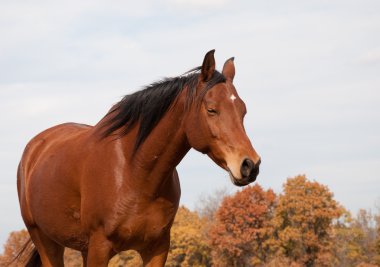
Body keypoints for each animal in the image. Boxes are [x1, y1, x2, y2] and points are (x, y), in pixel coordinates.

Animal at [17, 50, 262, 267]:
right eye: (211, 110)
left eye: (243, 110)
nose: (250, 165)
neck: (134, 171)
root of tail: (36, 147)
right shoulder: (100, 248)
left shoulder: (156, 248)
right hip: (46, 241)